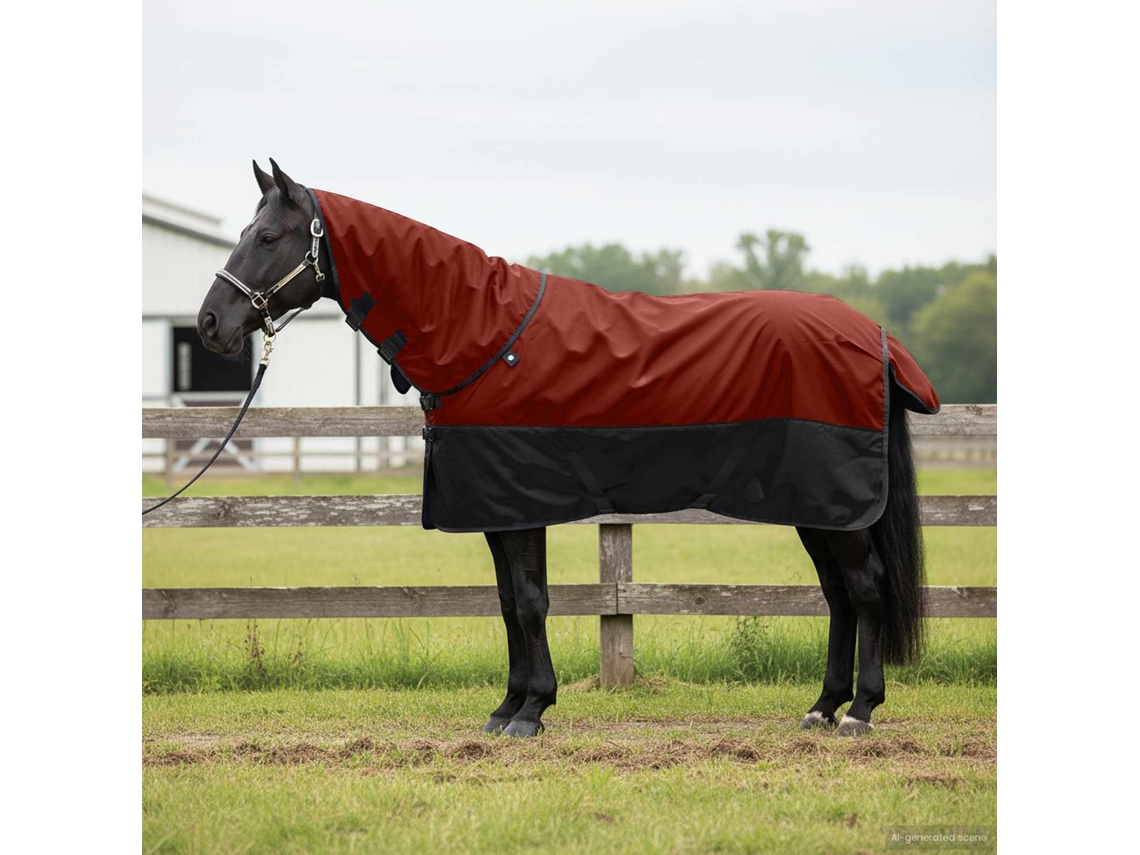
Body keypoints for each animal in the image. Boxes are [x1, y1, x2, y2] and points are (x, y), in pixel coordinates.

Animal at [195, 159, 938, 738]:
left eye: (267, 236)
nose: (209, 323)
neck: (483, 334)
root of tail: (872, 335)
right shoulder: (496, 508)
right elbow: (507, 601)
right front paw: (508, 707)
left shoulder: (520, 503)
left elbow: (529, 600)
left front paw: (531, 711)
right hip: (818, 507)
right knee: (839, 595)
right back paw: (822, 707)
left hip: (836, 504)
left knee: (865, 589)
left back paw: (860, 711)